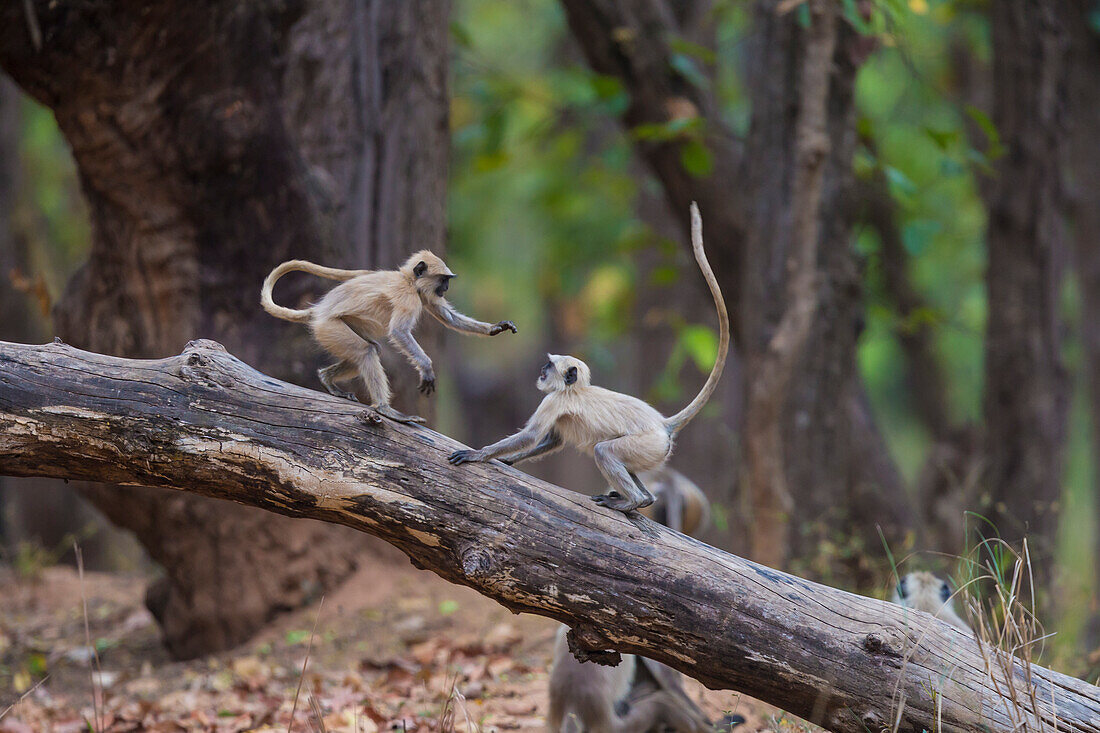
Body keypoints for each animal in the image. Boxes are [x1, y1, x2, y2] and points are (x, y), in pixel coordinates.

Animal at [261, 249, 514, 422]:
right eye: (443, 280)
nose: (446, 289)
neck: (407, 279)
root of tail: (318, 311)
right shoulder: (408, 295)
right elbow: (399, 331)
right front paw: (426, 369)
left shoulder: (421, 294)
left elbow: (448, 318)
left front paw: (495, 328)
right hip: (329, 327)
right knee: (366, 351)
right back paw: (384, 408)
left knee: (372, 348)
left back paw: (327, 379)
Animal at [448, 202, 730, 512]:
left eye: (549, 365)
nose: (541, 369)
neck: (575, 389)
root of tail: (663, 424)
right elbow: (553, 440)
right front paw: (506, 459)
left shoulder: (554, 400)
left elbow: (532, 436)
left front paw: (479, 454)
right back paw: (644, 499)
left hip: (645, 444)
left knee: (604, 450)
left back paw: (632, 501)